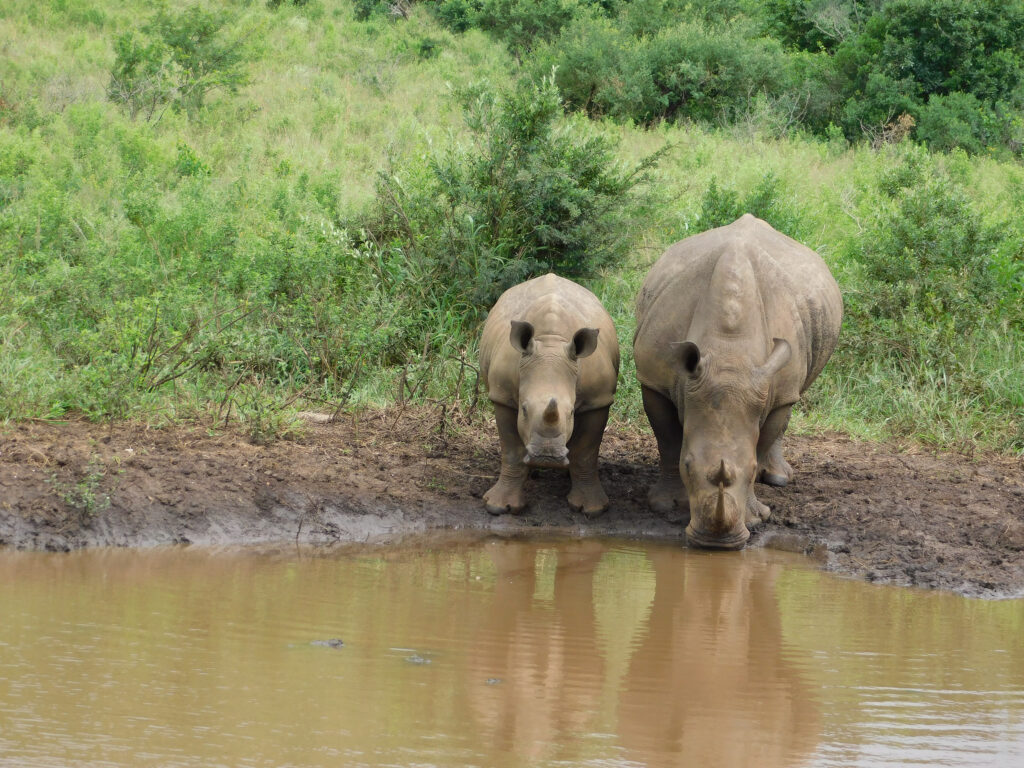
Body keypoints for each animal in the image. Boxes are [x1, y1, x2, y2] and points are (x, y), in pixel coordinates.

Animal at [479, 273, 620, 517]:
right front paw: (498, 506)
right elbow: (512, 452)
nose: (547, 457)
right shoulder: (502, 395)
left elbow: (585, 452)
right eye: (524, 410)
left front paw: (591, 509)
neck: (551, 342)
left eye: (571, 412)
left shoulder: (597, 399)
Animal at [633, 214, 842, 549]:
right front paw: (665, 505)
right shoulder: (654, 378)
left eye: (751, 471)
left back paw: (779, 479)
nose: (717, 544)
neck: (728, 355)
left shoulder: (774, 384)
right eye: (687, 465)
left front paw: (755, 518)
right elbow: (667, 440)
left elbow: (764, 436)